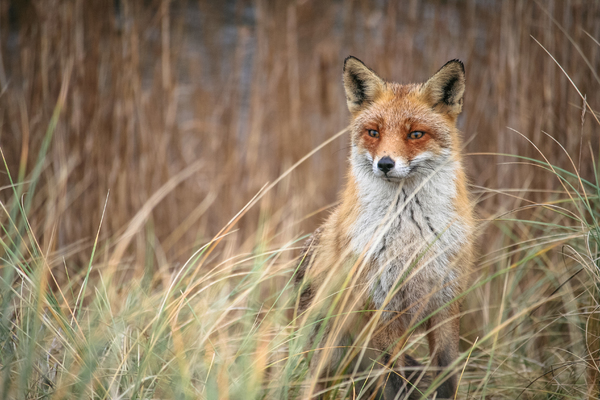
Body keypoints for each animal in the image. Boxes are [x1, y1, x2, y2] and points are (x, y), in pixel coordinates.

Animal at [296, 57, 474, 400]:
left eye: (415, 133)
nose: (386, 164)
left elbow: (447, 378)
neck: (410, 238)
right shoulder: (381, 307)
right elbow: (393, 382)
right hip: (327, 355)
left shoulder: (446, 303)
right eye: (373, 132)